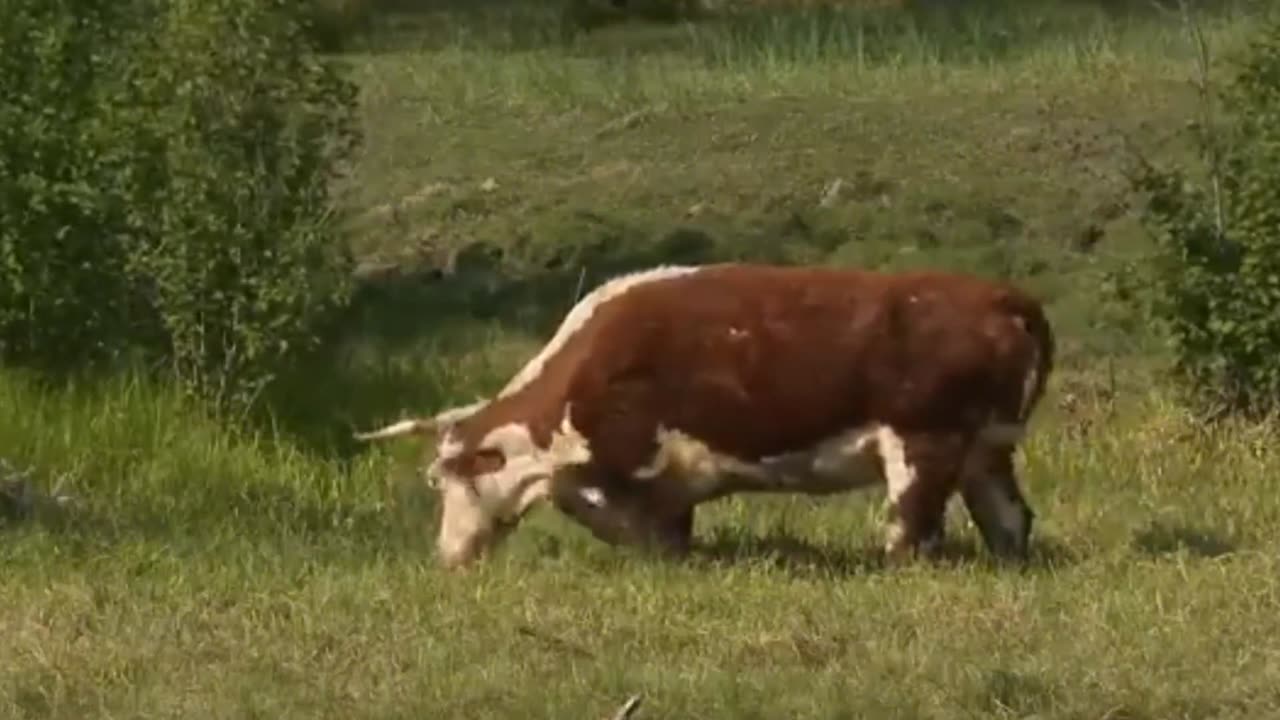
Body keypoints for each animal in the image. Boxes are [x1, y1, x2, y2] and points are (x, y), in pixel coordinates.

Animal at [355, 260, 1054, 568]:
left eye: (451, 480)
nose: (447, 556)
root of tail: (999, 296)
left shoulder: (629, 463)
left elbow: (640, 526)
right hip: (986, 451)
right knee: (1009, 519)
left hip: (923, 444)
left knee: (914, 528)